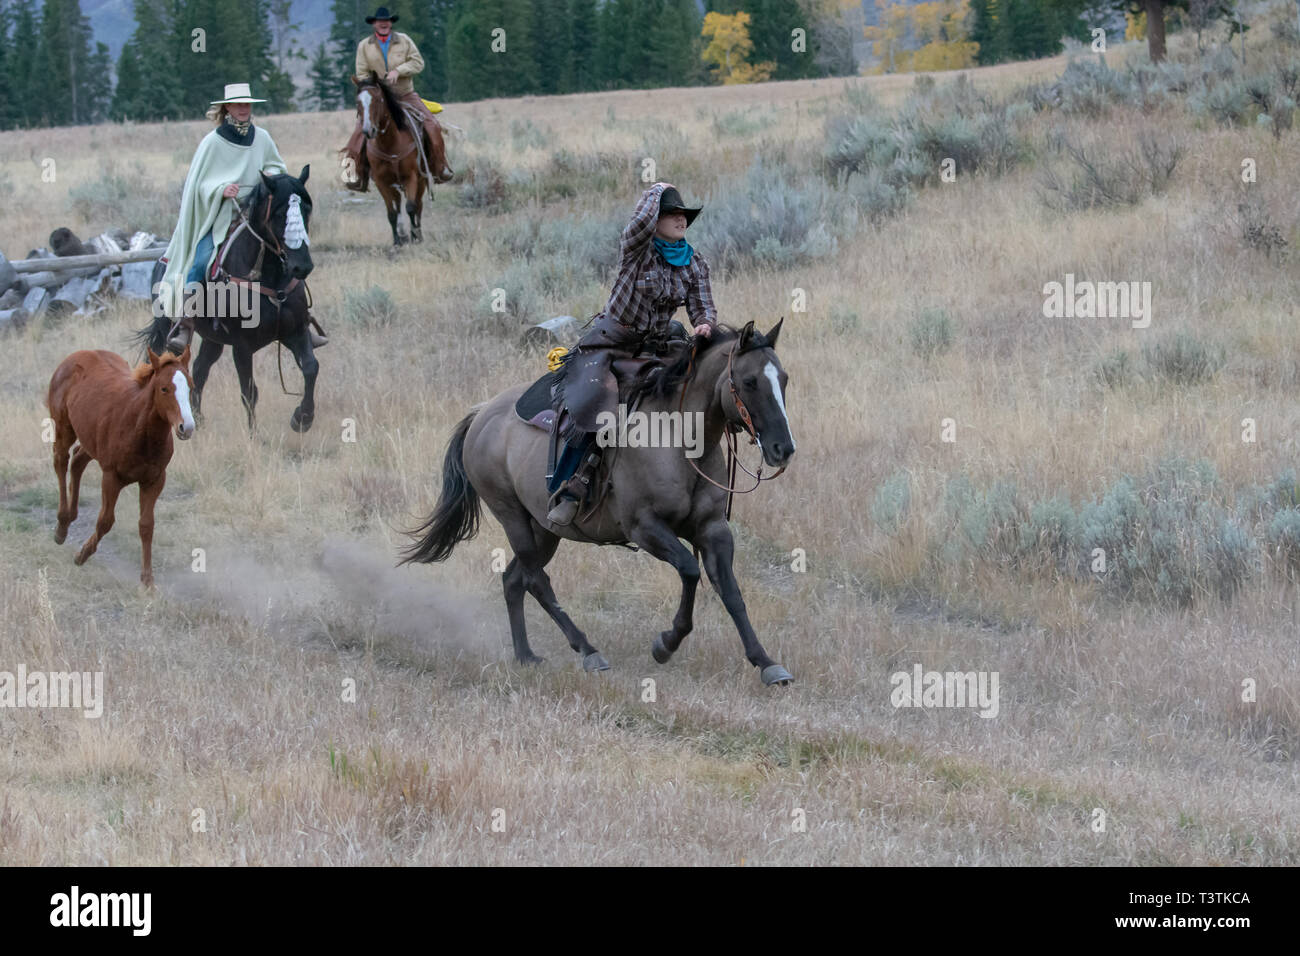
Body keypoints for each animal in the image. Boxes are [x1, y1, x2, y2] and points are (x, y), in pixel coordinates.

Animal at [48, 348, 196, 587]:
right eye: (164, 388)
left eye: (190, 386)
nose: (187, 427)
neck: (139, 430)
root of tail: (78, 355)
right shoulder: (111, 476)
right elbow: (105, 521)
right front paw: (82, 555)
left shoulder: (154, 480)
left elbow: (146, 525)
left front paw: (147, 580)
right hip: (63, 426)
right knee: (61, 461)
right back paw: (62, 526)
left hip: (90, 439)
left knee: (77, 460)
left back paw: (70, 516)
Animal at [137, 166, 319, 431]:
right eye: (278, 213)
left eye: (306, 208)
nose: (301, 266)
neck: (270, 279)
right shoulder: (242, 346)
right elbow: (249, 392)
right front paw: (255, 436)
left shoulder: (295, 331)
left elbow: (311, 367)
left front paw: (302, 418)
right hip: (169, 326)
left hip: (213, 338)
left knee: (200, 369)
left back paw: (197, 419)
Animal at [351, 75, 452, 247]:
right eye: (358, 102)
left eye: (378, 99)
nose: (368, 130)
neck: (390, 143)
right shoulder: (381, 181)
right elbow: (391, 212)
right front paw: (397, 241)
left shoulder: (410, 177)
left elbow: (411, 207)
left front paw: (415, 236)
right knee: (398, 205)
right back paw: (403, 233)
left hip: (421, 181)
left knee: (418, 205)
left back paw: (417, 234)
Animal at [400, 321, 795, 686]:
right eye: (749, 381)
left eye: (784, 379)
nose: (783, 448)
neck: (678, 438)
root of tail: (481, 414)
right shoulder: (645, 527)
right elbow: (689, 570)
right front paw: (666, 643)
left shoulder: (712, 528)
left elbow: (731, 591)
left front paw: (765, 662)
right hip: (511, 515)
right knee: (537, 580)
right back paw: (588, 651)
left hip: (544, 528)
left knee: (514, 579)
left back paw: (525, 654)